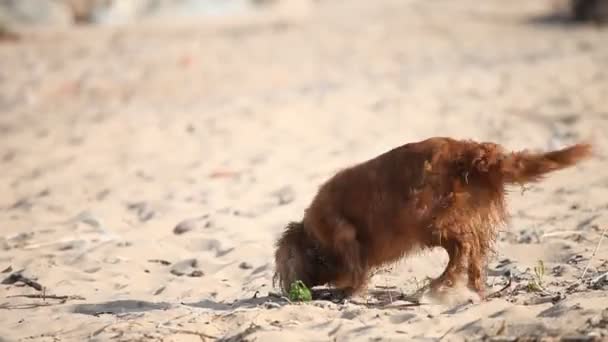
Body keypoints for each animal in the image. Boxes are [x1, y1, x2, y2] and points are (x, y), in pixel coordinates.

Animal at [274, 138, 592, 298]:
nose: (289, 291)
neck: (313, 238)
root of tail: (471, 152)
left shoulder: (343, 233)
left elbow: (356, 271)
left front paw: (352, 292)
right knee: (475, 254)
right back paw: (475, 289)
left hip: (428, 222)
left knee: (462, 249)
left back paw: (436, 287)